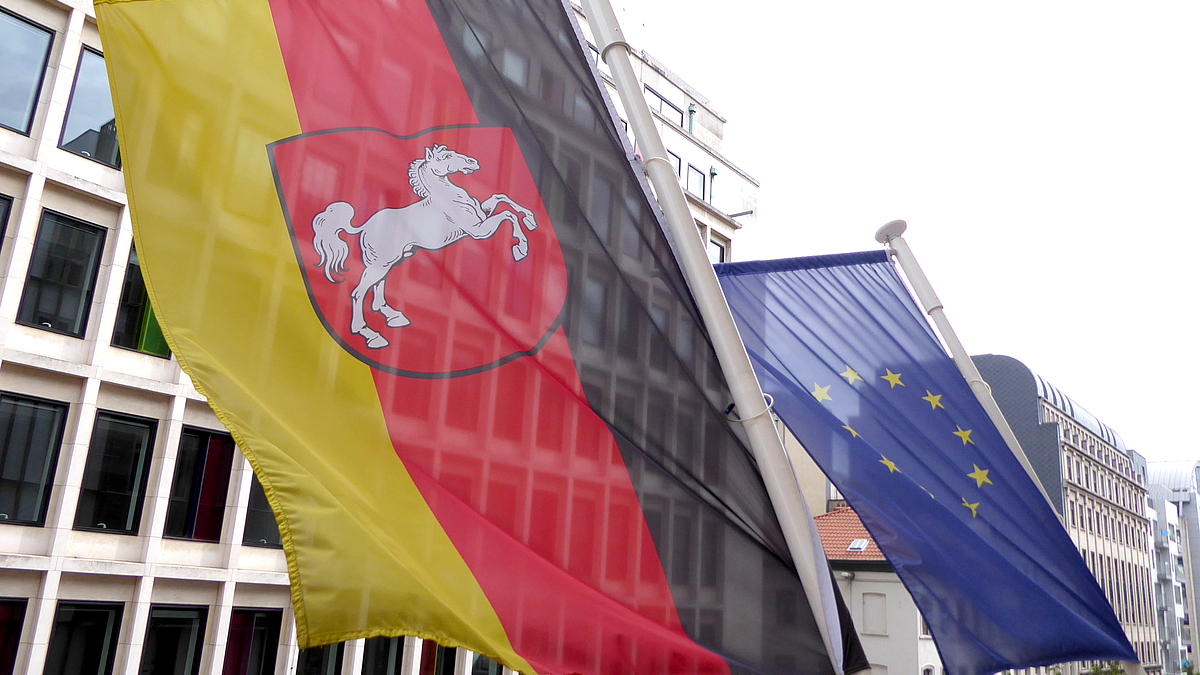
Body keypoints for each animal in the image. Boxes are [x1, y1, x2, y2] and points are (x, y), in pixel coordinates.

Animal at [312, 145, 537, 348]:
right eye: (446, 156)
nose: (473, 162)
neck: (449, 198)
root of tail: (364, 226)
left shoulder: (482, 216)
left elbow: (502, 199)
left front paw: (531, 220)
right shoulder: (478, 230)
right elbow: (507, 215)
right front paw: (520, 248)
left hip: (389, 261)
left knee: (378, 289)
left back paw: (394, 317)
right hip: (380, 264)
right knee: (359, 293)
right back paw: (371, 335)